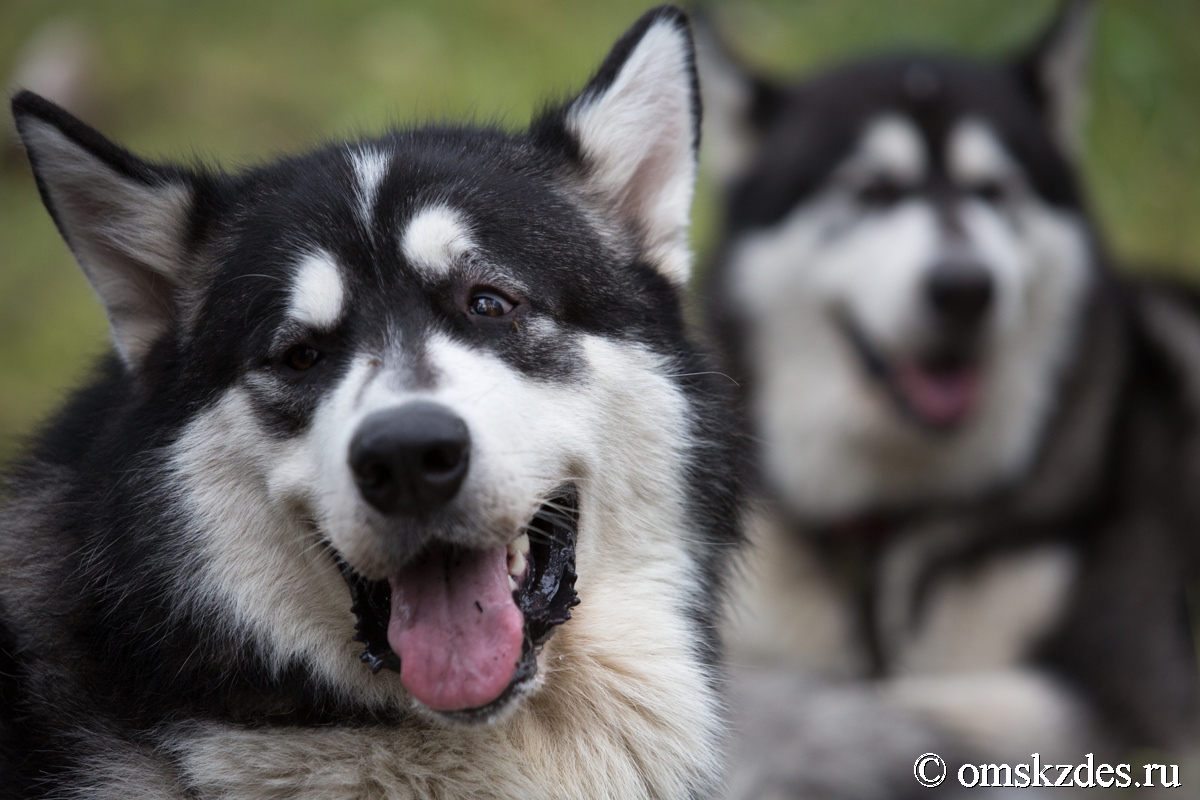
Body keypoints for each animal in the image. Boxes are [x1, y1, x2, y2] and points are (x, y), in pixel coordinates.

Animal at [700, 3, 1200, 796]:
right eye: (871, 191)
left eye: (996, 191)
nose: (964, 287)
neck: (892, 520)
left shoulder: (1137, 699)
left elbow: (883, 707)